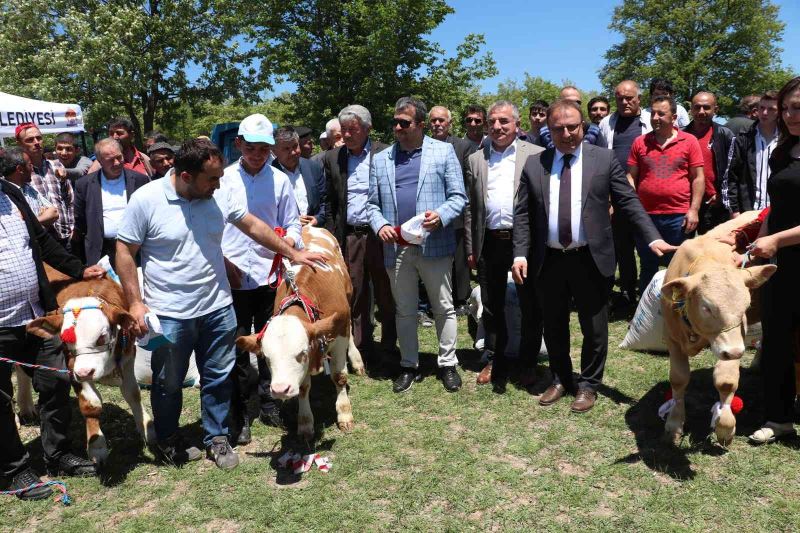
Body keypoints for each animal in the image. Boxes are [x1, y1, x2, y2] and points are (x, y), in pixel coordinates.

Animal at [26, 264, 155, 464]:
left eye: (101, 337)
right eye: (65, 339)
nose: (85, 372)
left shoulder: (128, 358)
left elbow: (133, 394)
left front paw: (146, 427)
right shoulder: (72, 365)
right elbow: (91, 404)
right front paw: (97, 447)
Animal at [236, 227, 364, 438]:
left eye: (302, 353)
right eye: (267, 358)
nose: (280, 389)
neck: (305, 298)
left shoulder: (340, 333)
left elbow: (339, 376)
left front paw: (344, 414)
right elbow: (303, 387)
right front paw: (305, 423)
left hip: (349, 300)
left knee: (352, 330)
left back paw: (357, 361)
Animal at [656, 228, 776, 444]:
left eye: (746, 305)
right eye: (707, 307)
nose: (736, 352)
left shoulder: (734, 340)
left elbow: (726, 382)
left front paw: (725, 428)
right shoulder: (672, 338)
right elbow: (678, 379)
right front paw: (674, 424)